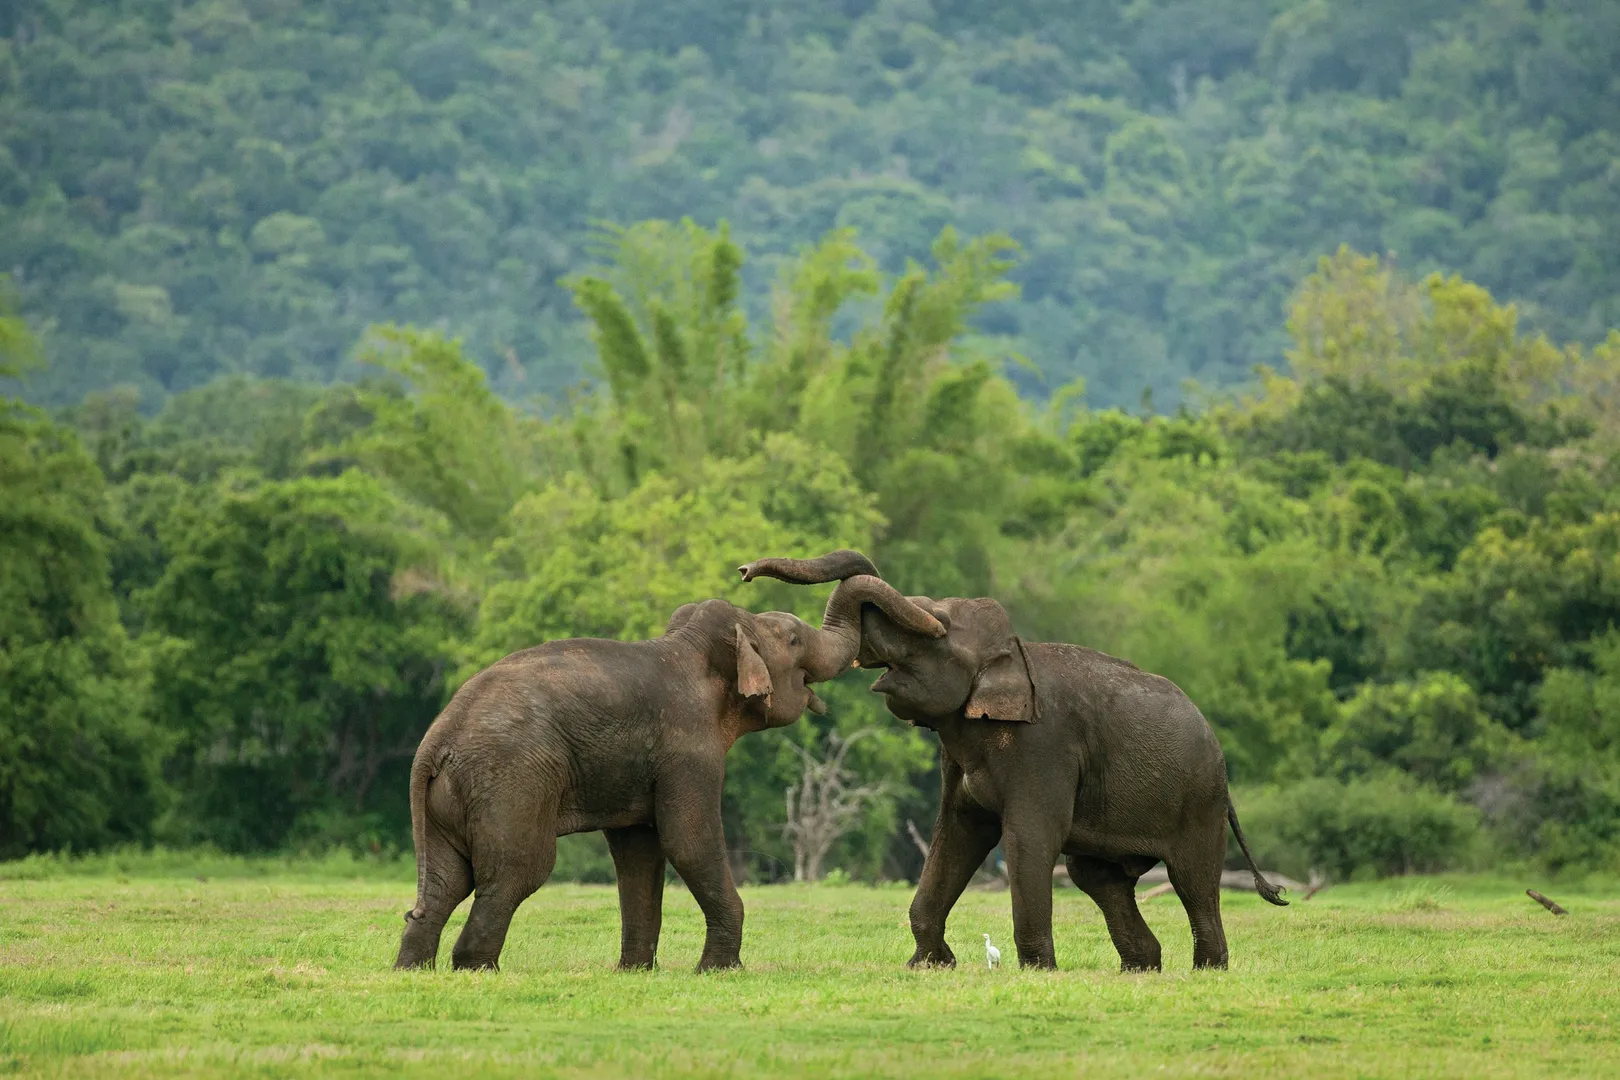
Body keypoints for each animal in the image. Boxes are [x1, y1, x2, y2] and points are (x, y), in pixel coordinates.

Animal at [393, 575, 944, 973]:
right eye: (791, 637)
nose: (937, 629)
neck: (692, 646)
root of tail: (434, 745)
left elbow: (639, 851)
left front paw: (635, 972)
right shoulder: (688, 746)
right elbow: (688, 839)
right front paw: (720, 971)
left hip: (452, 798)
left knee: (445, 882)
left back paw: (414, 969)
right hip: (510, 783)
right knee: (516, 871)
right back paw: (475, 969)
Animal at [738, 550, 1285, 972]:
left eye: (937, 629)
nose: (743, 570)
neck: (1012, 653)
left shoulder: (1042, 747)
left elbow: (1028, 838)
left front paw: (1038, 971)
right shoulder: (957, 755)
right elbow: (957, 833)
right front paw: (929, 965)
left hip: (1199, 799)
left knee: (1192, 879)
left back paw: (1207, 970)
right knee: (1099, 877)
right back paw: (1142, 968)